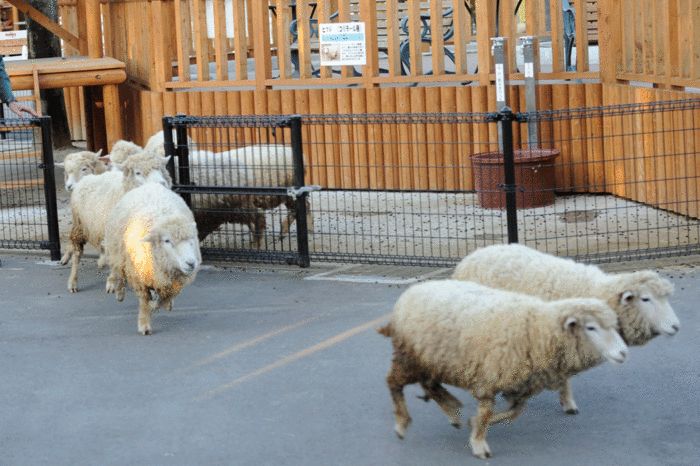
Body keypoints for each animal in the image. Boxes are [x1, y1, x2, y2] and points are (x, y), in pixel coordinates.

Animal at [60, 151, 172, 294]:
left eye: (160, 169)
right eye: (138, 172)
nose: (161, 183)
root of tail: (86, 179)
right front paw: (112, 283)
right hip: (79, 226)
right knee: (77, 253)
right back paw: (73, 282)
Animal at [104, 181, 202, 334]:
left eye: (191, 239)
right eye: (167, 241)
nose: (191, 263)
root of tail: (150, 184)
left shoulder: (173, 280)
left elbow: (164, 298)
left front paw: (157, 305)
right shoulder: (138, 275)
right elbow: (145, 301)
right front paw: (144, 324)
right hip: (119, 253)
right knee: (120, 273)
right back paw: (119, 292)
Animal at [380, 278, 628, 460]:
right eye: (591, 327)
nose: (624, 352)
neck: (537, 329)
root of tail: (413, 291)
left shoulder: (519, 382)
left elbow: (514, 411)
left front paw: (473, 424)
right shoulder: (489, 377)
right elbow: (487, 411)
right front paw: (479, 444)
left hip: (431, 357)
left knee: (429, 384)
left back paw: (452, 411)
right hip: (409, 357)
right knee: (394, 383)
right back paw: (402, 424)